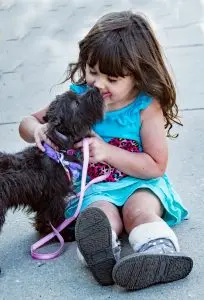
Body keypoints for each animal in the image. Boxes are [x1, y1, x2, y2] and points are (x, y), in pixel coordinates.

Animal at [0, 86, 104, 244]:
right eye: (76, 103)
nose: (96, 88)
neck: (59, 150)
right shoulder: (55, 197)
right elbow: (57, 217)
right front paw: (64, 234)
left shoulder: (42, 200)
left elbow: (44, 217)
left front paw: (45, 230)